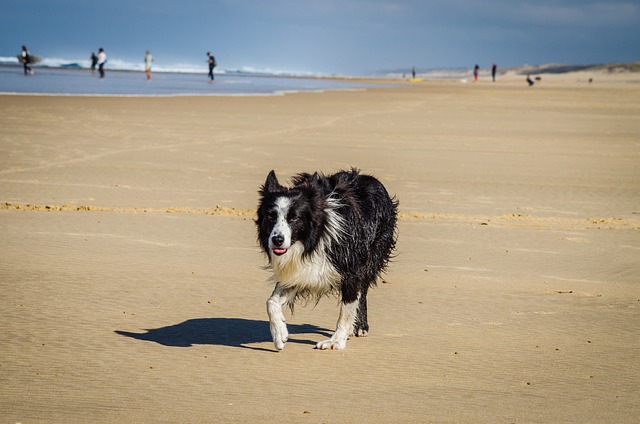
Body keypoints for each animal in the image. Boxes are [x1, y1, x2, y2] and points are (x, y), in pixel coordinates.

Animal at [254, 169, 396, 352]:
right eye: (271, 216)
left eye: (294, 218)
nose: (277, 240)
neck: (315, 236)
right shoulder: (300, 271)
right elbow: (271, 301)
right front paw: (279, 333)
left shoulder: (352, 271)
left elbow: (346, 310)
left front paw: (336, 341)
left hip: (372, 255)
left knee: (363, 291)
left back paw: (360, 327)